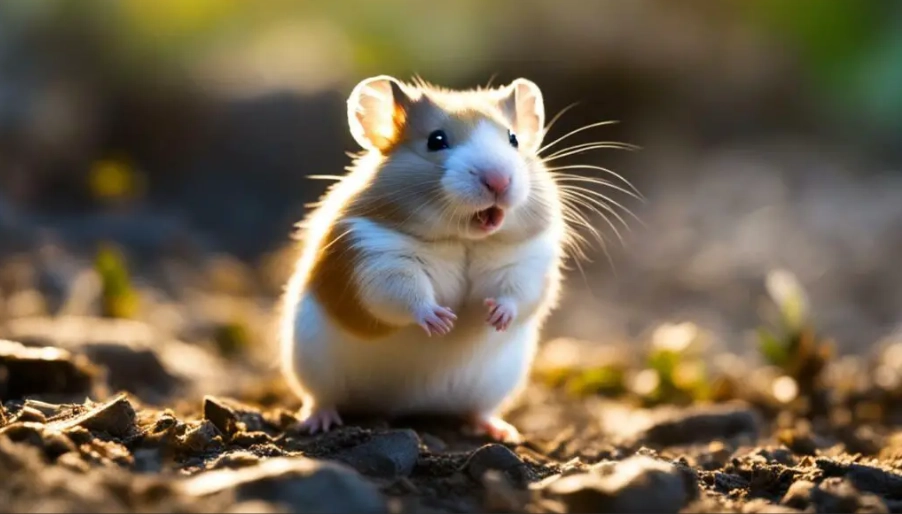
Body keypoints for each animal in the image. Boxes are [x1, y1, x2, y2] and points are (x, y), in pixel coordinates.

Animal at [279, 75, 567, 443]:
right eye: (436, 140)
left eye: (513, 139)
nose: (499, 181)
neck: (463, 238)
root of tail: (403, 408)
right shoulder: (378, 258)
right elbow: (403, 295)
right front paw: (441, 321)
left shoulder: (526, 262)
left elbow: (518, 294)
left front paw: (496, 316)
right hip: (311, 368)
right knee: (320, 398)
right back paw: (318, 422)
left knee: (478, 410)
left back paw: (501, 431)